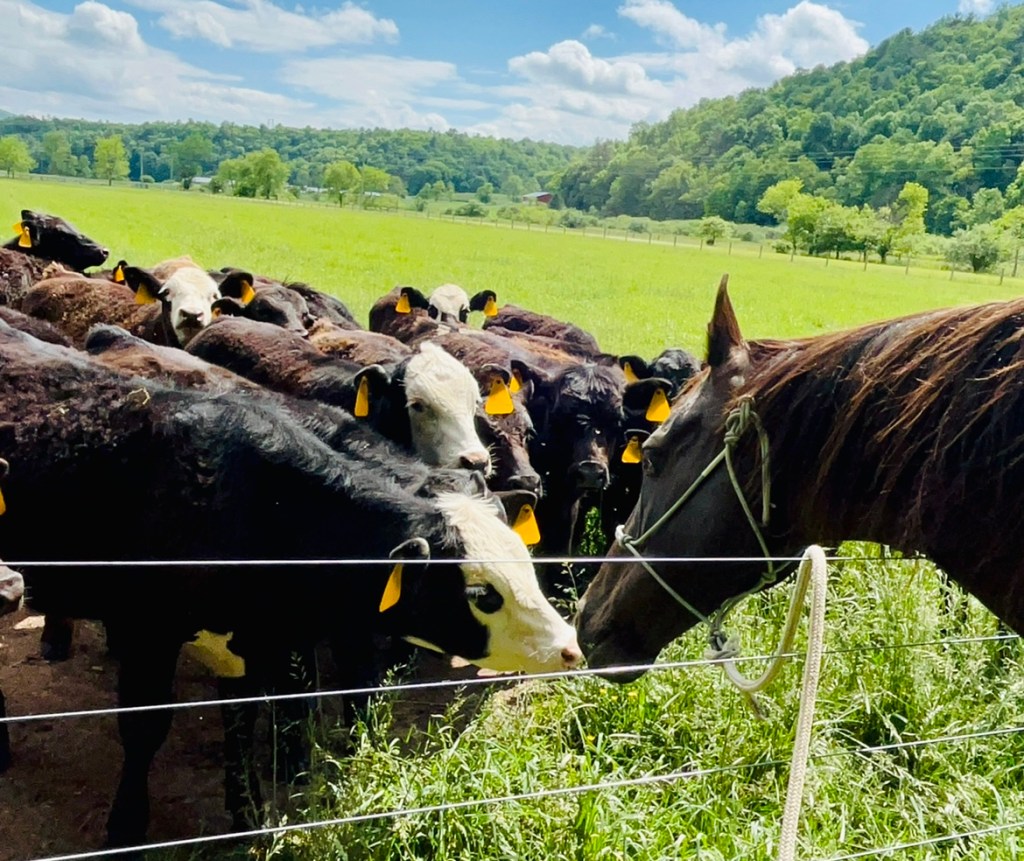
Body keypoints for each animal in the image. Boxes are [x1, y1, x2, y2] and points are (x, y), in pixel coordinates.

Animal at [0, 319, 581, 848]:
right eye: (483, 595)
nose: (569, 648)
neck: (247, 500)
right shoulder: (152, 631)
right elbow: (147, 730)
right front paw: (125, 827)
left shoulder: (257, 636)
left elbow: (248, 721)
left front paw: (249, 815)